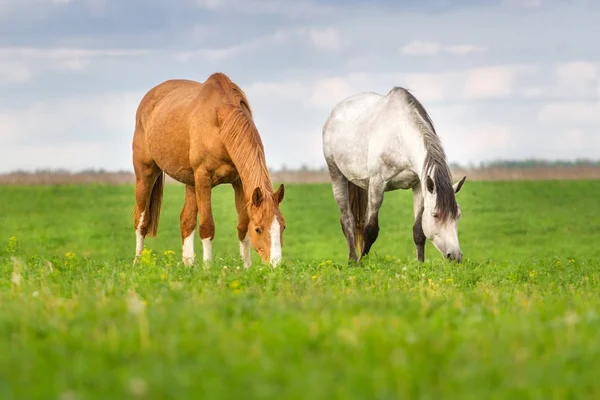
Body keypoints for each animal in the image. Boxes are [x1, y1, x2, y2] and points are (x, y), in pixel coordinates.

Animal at [132, 72, 288, 268]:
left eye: (283, 226)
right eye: (259, 229)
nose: (276, 265)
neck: (220, 125)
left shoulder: (238, 183)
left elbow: (242, 227)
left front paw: (246, 267)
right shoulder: (203, 179)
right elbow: (207, 226)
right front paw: (208, 268)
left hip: (190, 182)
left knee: (186, 221)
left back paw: (189, 264)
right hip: (145, 172)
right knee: (141, 221)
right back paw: (137, 262)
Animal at [324, 86, 468, 264]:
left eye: (458, 215)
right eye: (435, 215)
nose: (455, 256)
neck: (400, 137)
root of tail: (334, 113)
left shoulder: (419, 185)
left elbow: (418, 231)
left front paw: (420, 264)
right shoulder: (377, 185)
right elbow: (371, 230)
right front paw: (362, 262)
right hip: (337, 175)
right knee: (347, 220)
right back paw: (352, 260)